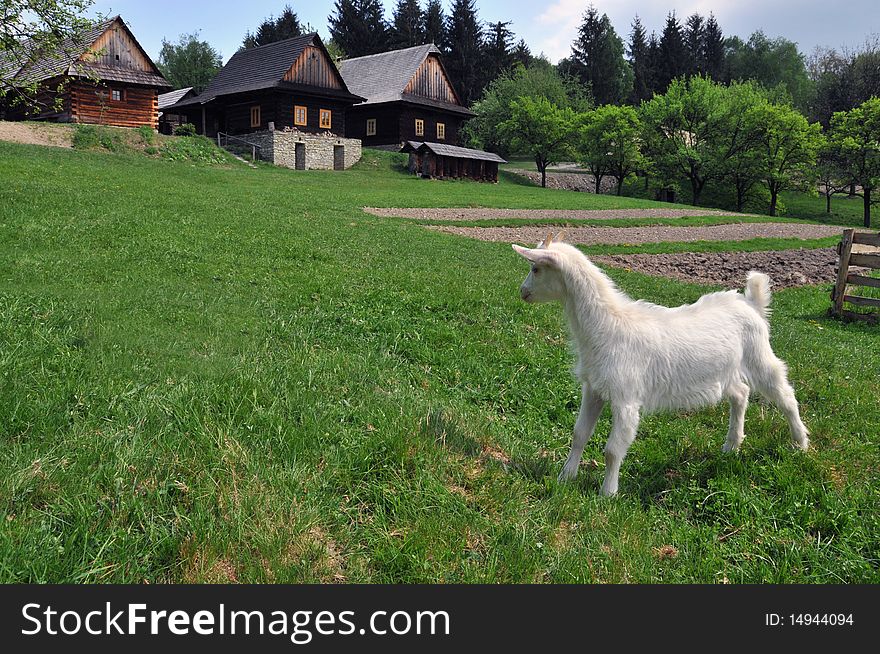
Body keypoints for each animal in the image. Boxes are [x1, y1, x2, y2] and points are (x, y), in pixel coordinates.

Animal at [512, 236, 808, 498]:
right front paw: (565, 477)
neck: (608, 324)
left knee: (785, 394)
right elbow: (579, 434)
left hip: (759, 355)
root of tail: (751, 303)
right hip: (725, 369)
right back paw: (731, 446)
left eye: (535, 269)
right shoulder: (594, 388)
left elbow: (613, 450)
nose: (522, 292)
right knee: (740, 393)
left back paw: (801, 443)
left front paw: (607, 494)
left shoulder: (626, 397)